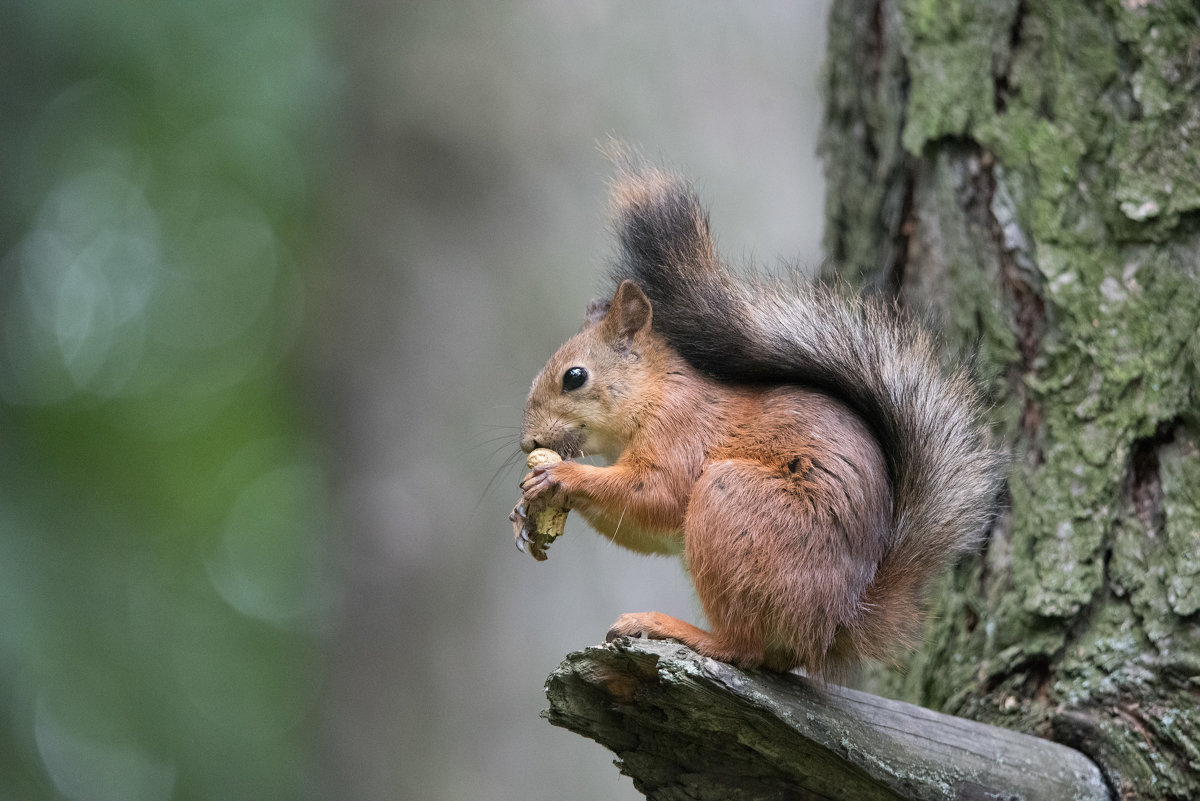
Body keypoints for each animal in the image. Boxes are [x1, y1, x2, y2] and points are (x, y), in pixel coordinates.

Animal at [516, 159, 1003, 681]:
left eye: (575, 377)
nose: (528, 443)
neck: (654, 394)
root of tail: (834, 623)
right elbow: (643, 528)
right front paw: (528, 507)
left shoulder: (682, 432)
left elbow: (658, 494)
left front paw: (561, 475)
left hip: (734, 504)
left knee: (743, 648)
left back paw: (674, 628)